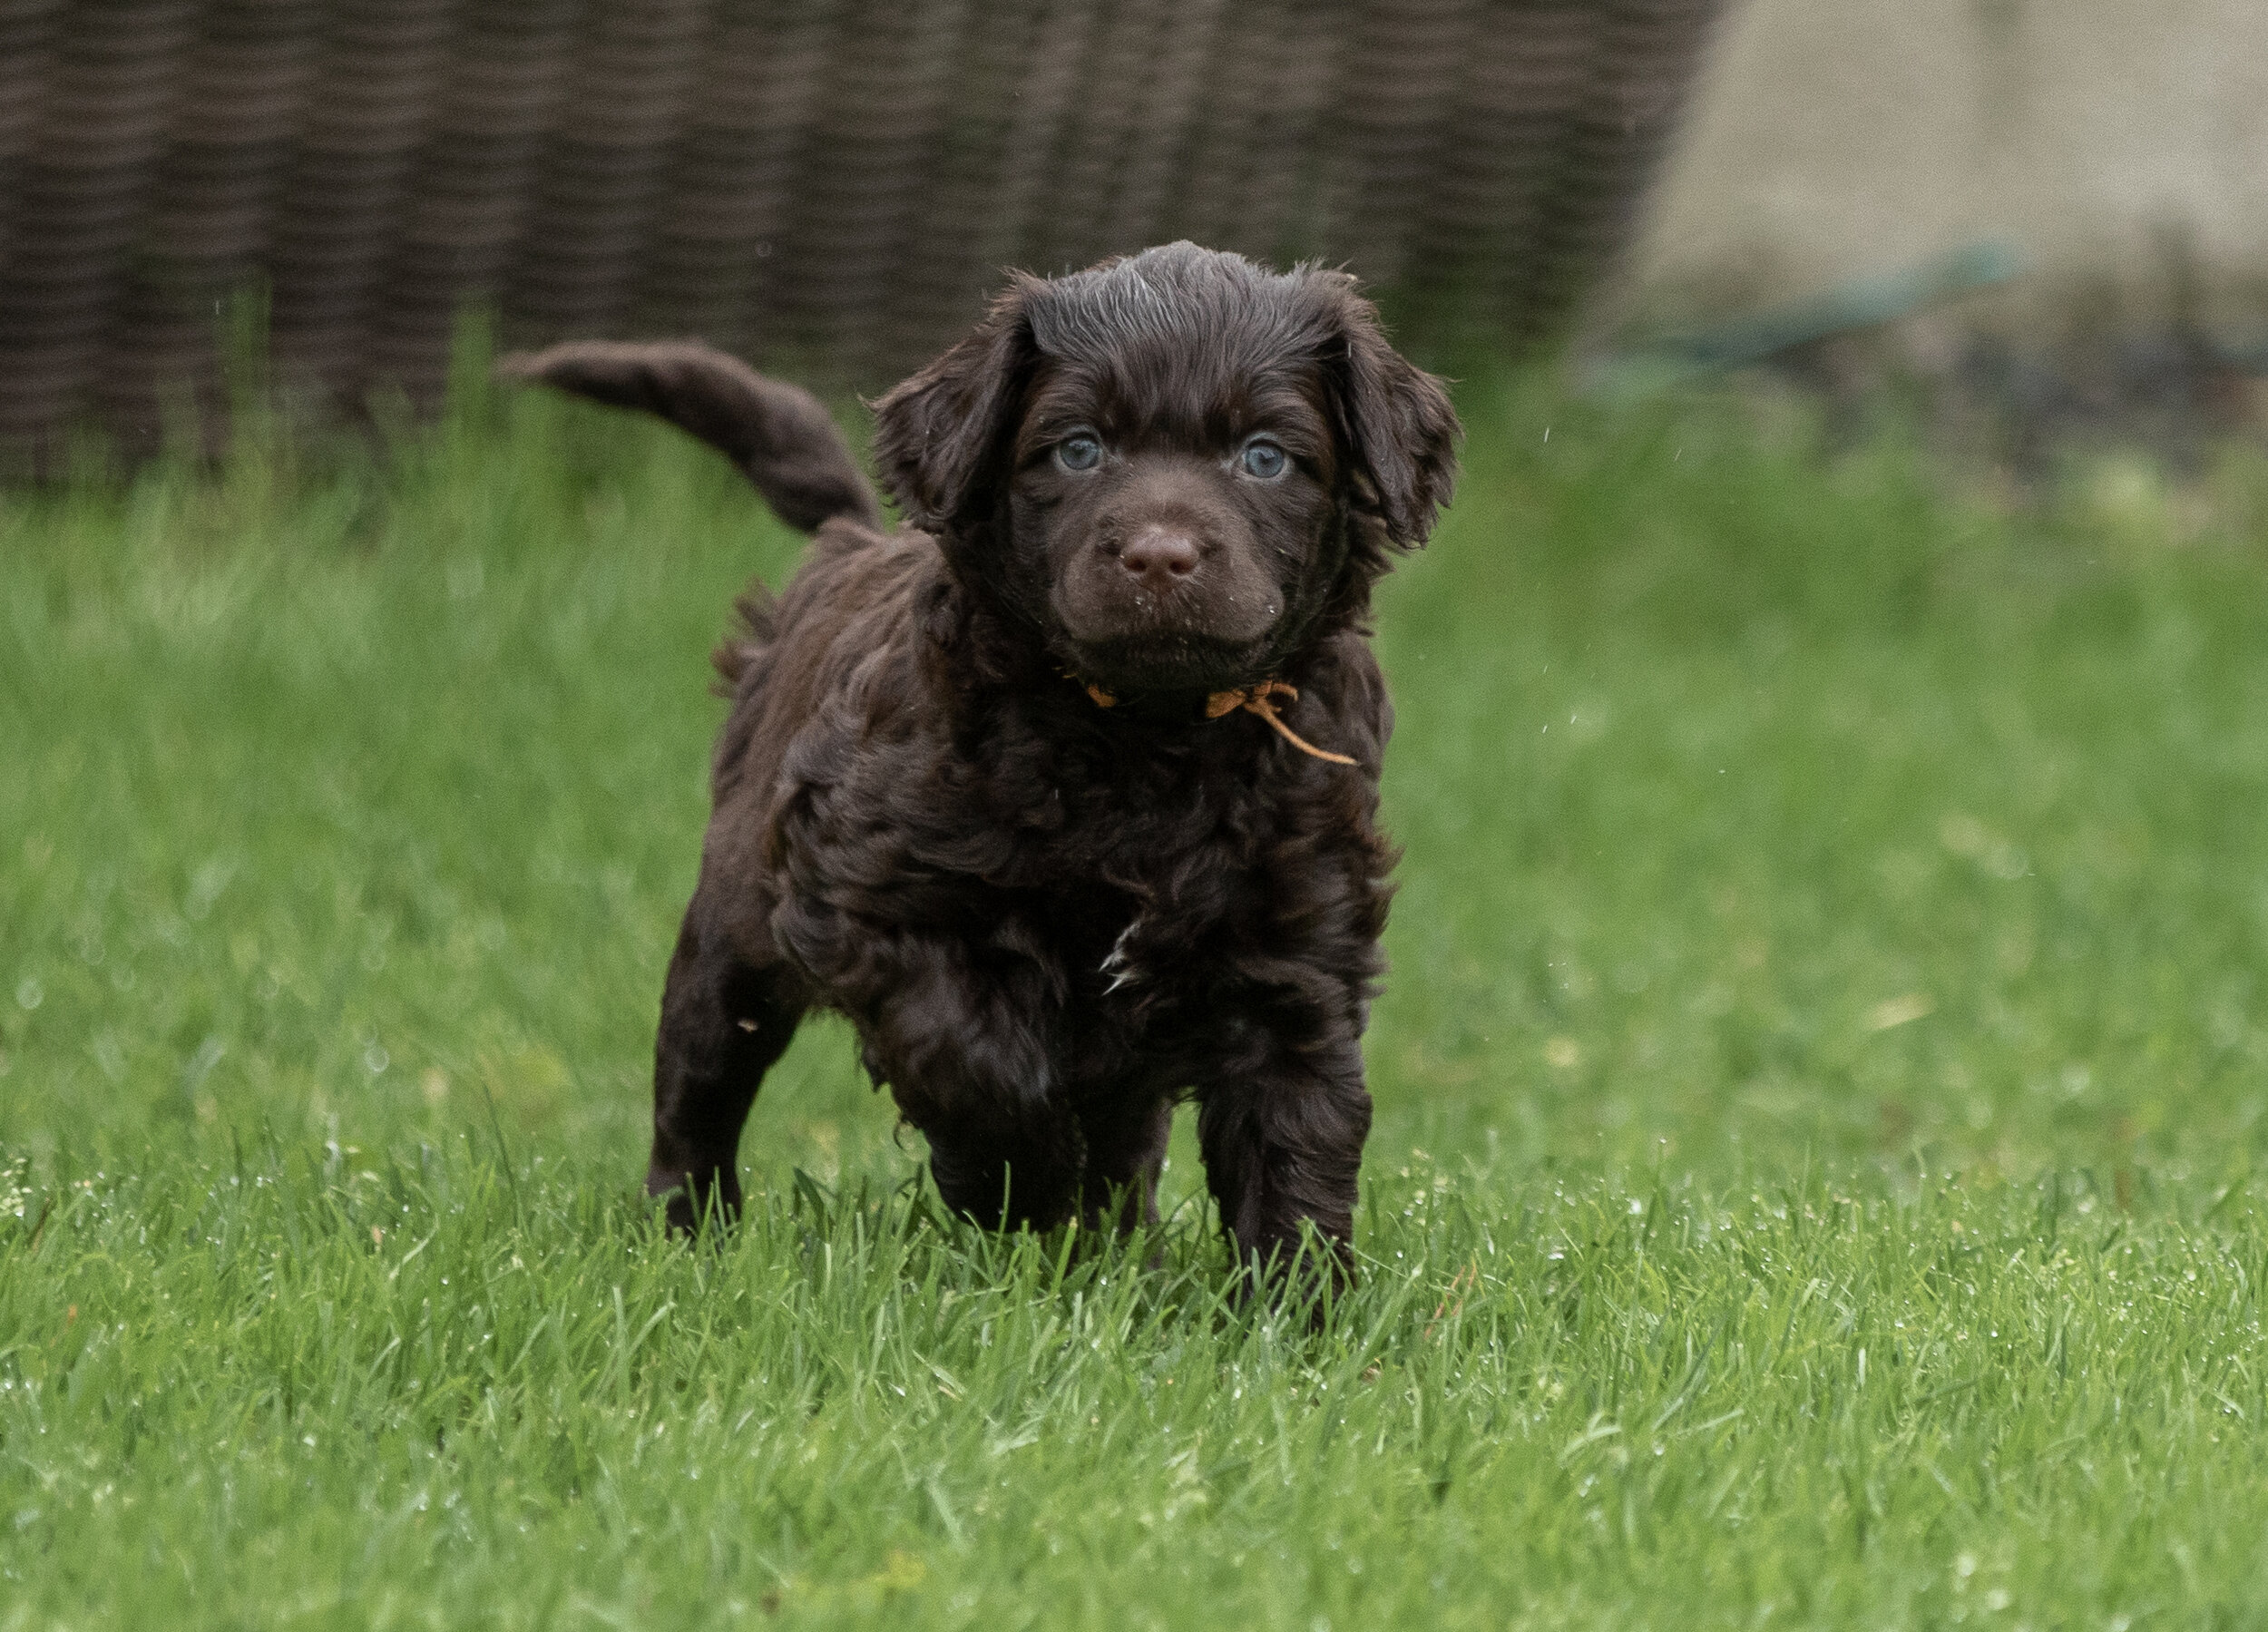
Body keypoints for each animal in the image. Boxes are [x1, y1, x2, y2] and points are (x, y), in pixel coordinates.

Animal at [505, 246, 1461, 1287]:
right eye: (1077, 449)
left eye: (1264, 456)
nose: (1159, 556)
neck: (1144, 738)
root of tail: (851, 541)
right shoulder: (869, 897)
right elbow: (972, 1057)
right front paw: (1016, 1185)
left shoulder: (1296, 954)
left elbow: (1296, 1145)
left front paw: (1297, 1314)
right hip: (730, 937)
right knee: (700, 1092)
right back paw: (687, 1239)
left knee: (1128, 1143)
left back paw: (1116, 1256)